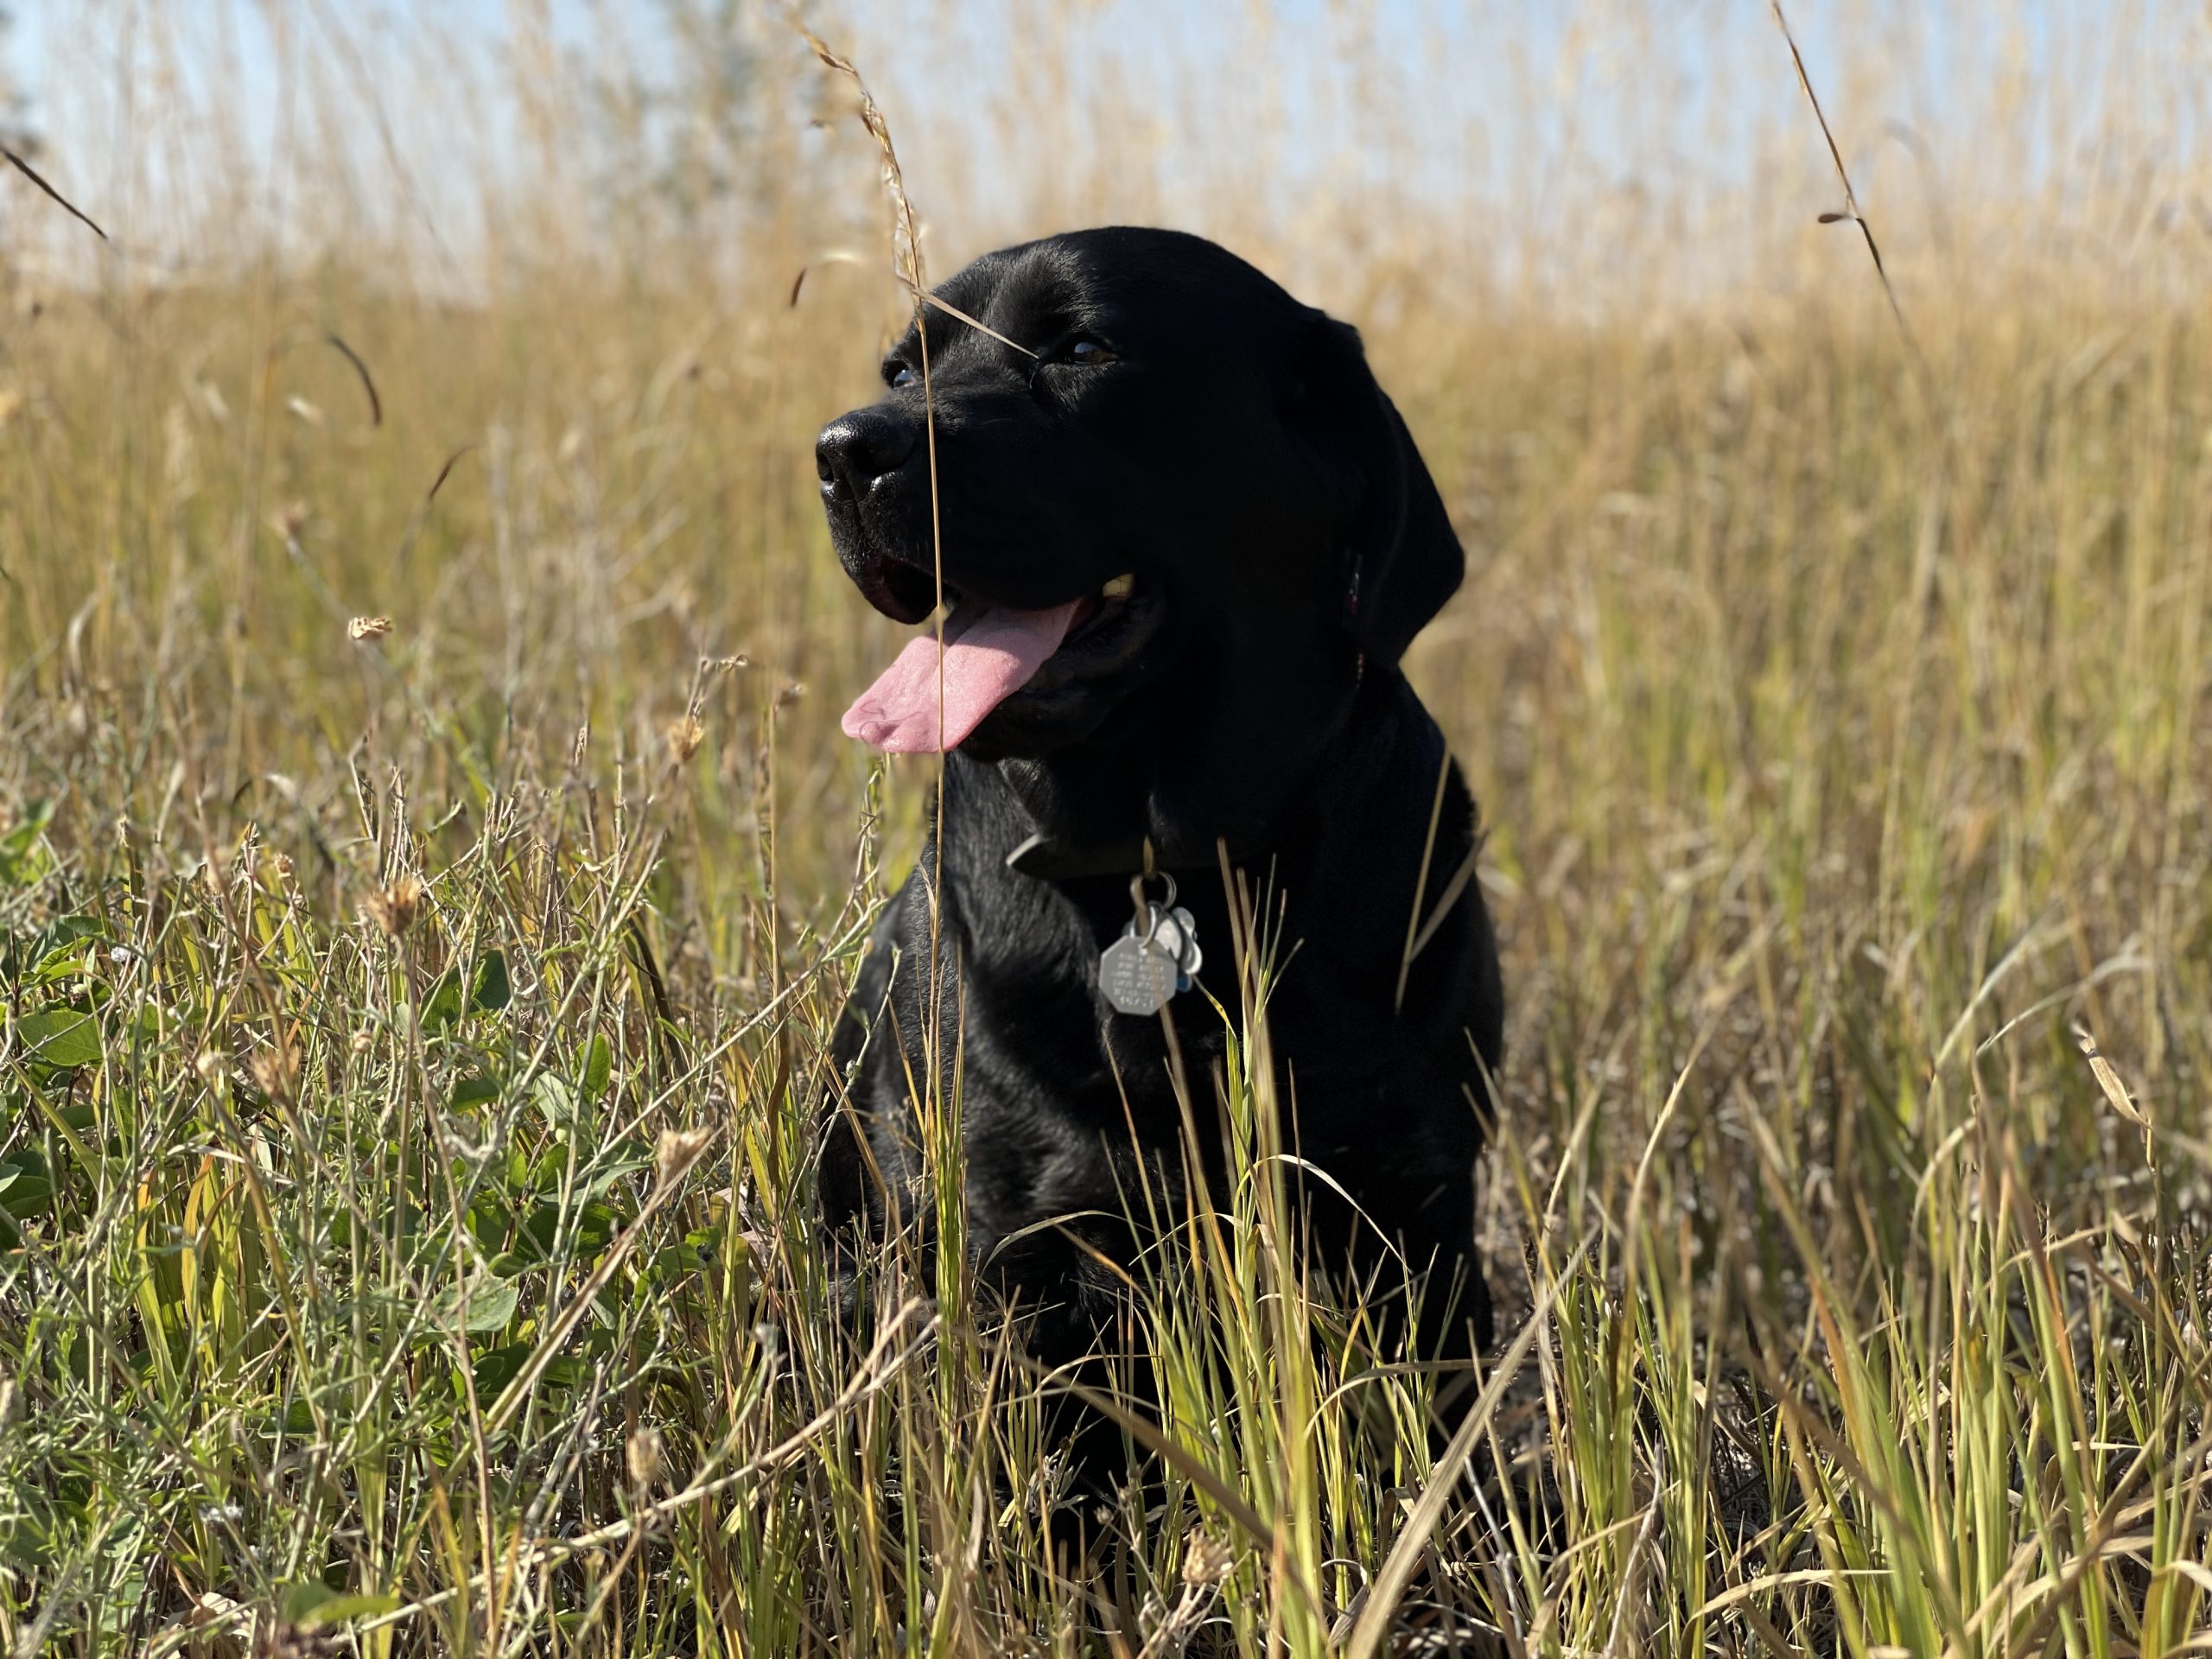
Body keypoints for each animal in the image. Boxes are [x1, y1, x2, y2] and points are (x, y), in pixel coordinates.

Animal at [814, 231, 1503, 1407]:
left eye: (1080, 349)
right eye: (901, 371)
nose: (845, 451)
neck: (1162, 863)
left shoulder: (1417, 1219)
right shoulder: (1018, 1244)